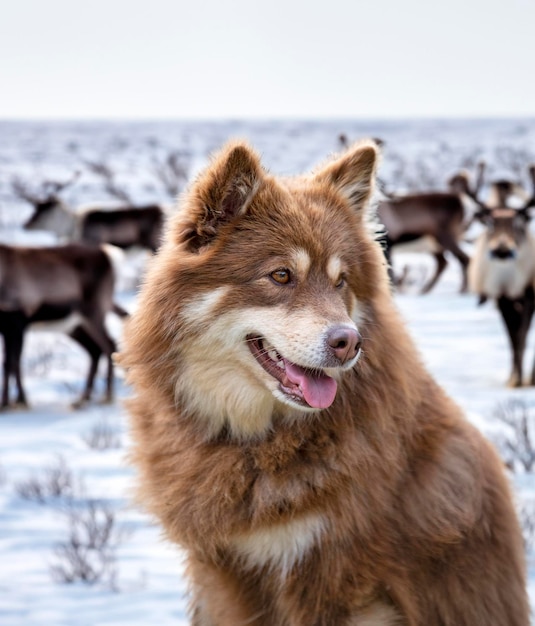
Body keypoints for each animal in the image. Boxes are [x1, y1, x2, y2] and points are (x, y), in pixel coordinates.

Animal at [120, 141, 528, 624]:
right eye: (281, 275)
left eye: (341, 281)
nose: (348, 342)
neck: (254, 442)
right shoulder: (223, 570)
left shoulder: (328, 574)